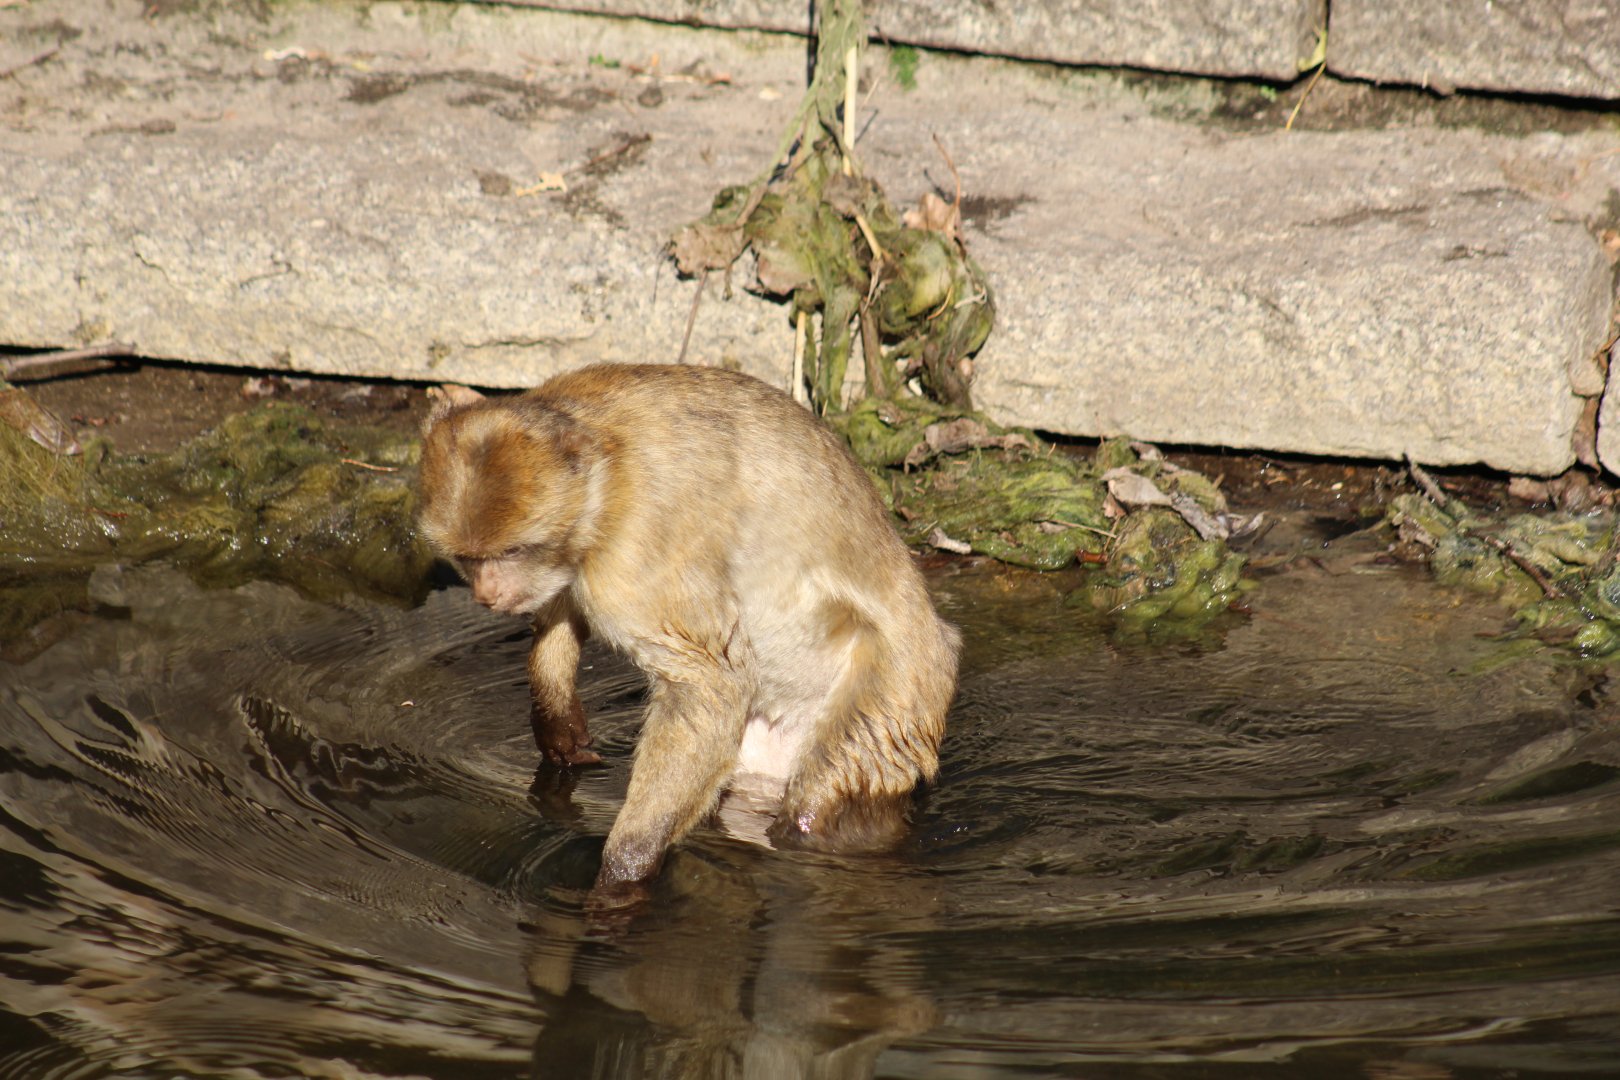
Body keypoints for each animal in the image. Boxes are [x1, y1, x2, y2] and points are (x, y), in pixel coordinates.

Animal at [415, 364, 959, 890]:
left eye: (513, 551)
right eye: (469, 559)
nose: (487, 594)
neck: (603, 476)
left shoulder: (638, 557)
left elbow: (708, 684)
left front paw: (623, 872)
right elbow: (562, 608)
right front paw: (555, 715)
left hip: (898, 689)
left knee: (822, 802)